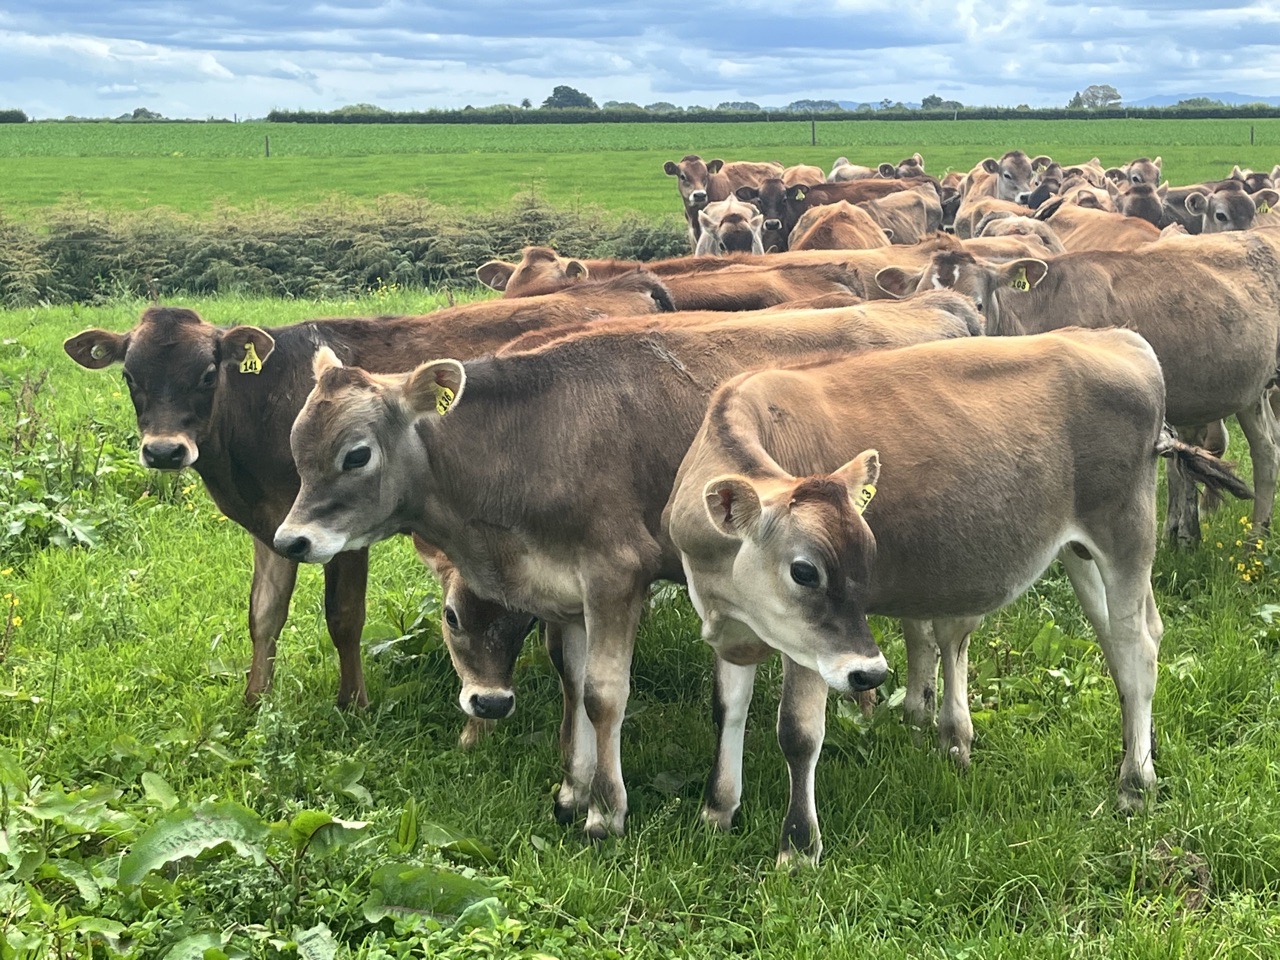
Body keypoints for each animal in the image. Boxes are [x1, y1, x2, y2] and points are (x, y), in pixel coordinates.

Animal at [61, 271, 677, 712]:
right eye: (130, 377)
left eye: (209, 374)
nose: (165, 451)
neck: (265, 405)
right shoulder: (274, 527)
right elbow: (263, 613)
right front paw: (254, 702)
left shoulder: (341, 533)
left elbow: (343, 616)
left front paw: (352, 704)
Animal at [272, 292, 983, 841]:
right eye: (297, 444)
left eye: (356, 454)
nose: (291, 540)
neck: (533, 438)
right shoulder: (567, 588)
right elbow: (575, 681)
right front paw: (573, 789)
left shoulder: (615, 576)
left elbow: (603, 694)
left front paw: (606, 812)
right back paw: (909, 711)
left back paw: (944, 730)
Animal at [666, 329, 1250, 863]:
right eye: (804, 571)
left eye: (869, 558)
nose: (872, 674)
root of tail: (1116, 336)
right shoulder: (731, 627)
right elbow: (728, 709)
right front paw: (717, 810)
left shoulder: (811, 649)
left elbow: (799, 732)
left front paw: (799, 848)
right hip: (1080, 551)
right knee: (1121, 642)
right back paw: (1140, 758)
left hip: (1126, 531)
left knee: (1137, 649)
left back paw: (1133, 784)